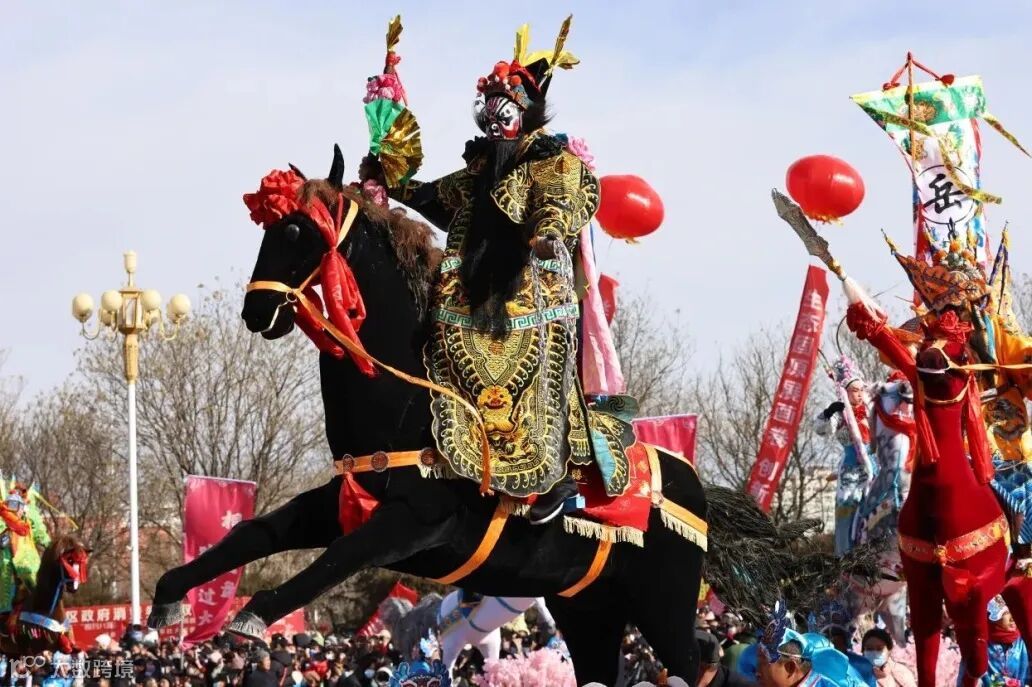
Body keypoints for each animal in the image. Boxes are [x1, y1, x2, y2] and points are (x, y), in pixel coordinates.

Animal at [148, 146, 707, 687]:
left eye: (294, 231)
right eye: (266, 229)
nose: (257, 311)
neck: (408, 406)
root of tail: (696, 489)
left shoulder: (415, 521)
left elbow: (336, 559)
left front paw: (251, 617)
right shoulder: (337, 502)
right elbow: (253, 533)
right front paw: (169, 599)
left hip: (663, 607)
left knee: (692, 662)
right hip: (587, 608)